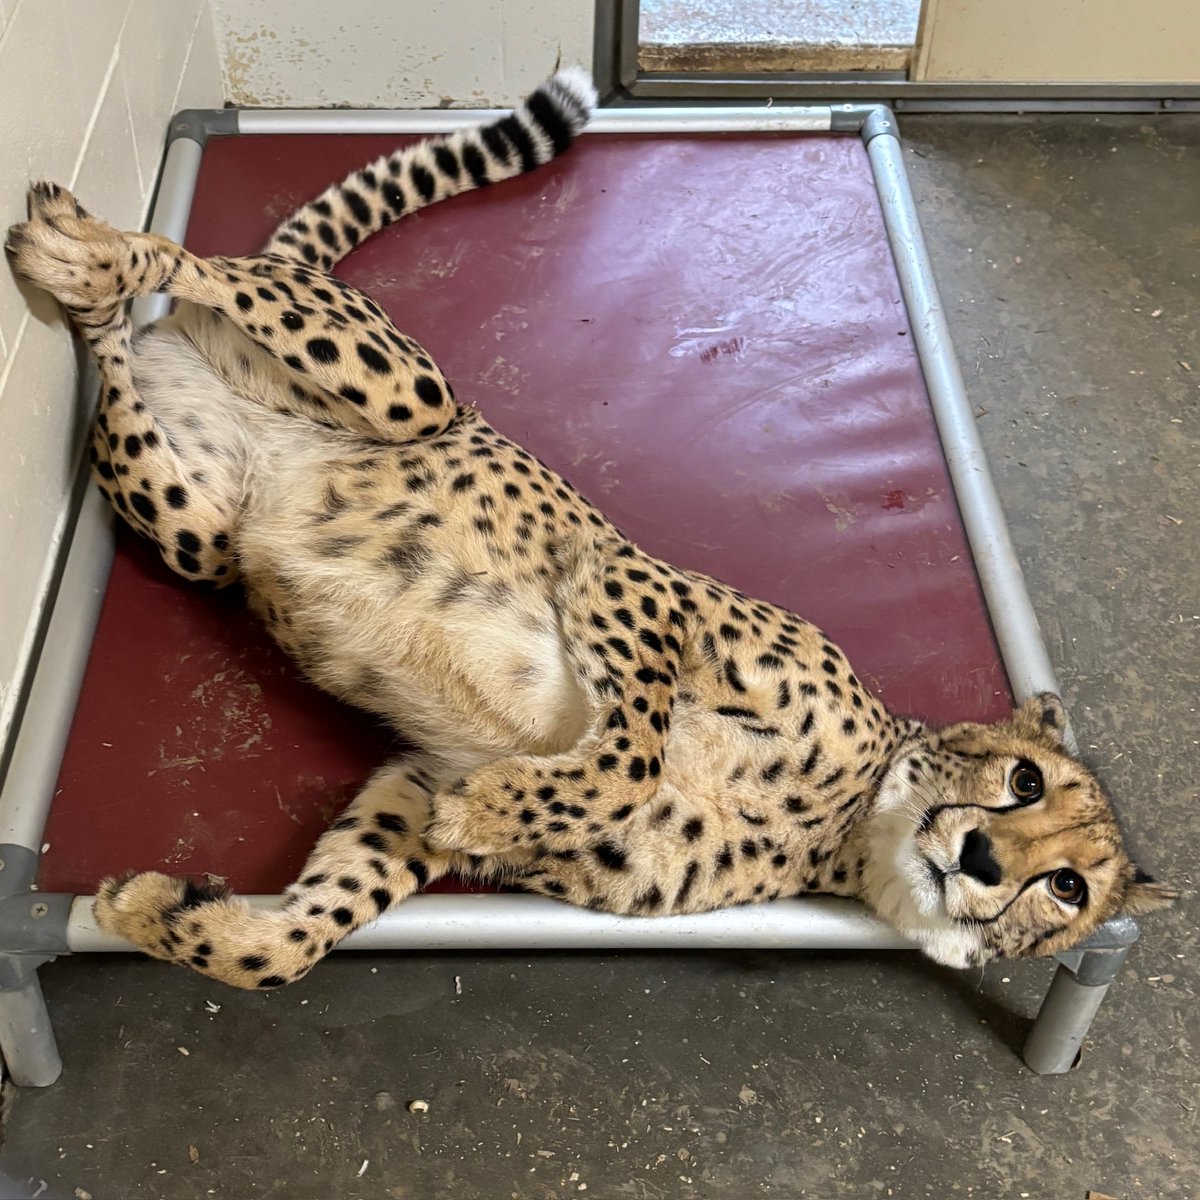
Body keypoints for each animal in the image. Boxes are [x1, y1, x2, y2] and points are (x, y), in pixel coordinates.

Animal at [6, 67, 1174, 992]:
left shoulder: (406, 785)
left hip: (198, 525)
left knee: (125, 366)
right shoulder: (631, 583)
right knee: (192, 261)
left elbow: (293, 941)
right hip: (405, 389)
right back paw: (81, 250)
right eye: (1026, 783)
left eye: (1069, 889)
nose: (983, 862)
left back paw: (87, 289)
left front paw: (153, 910)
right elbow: (633, 751)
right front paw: (499, 803)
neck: (843, 828)